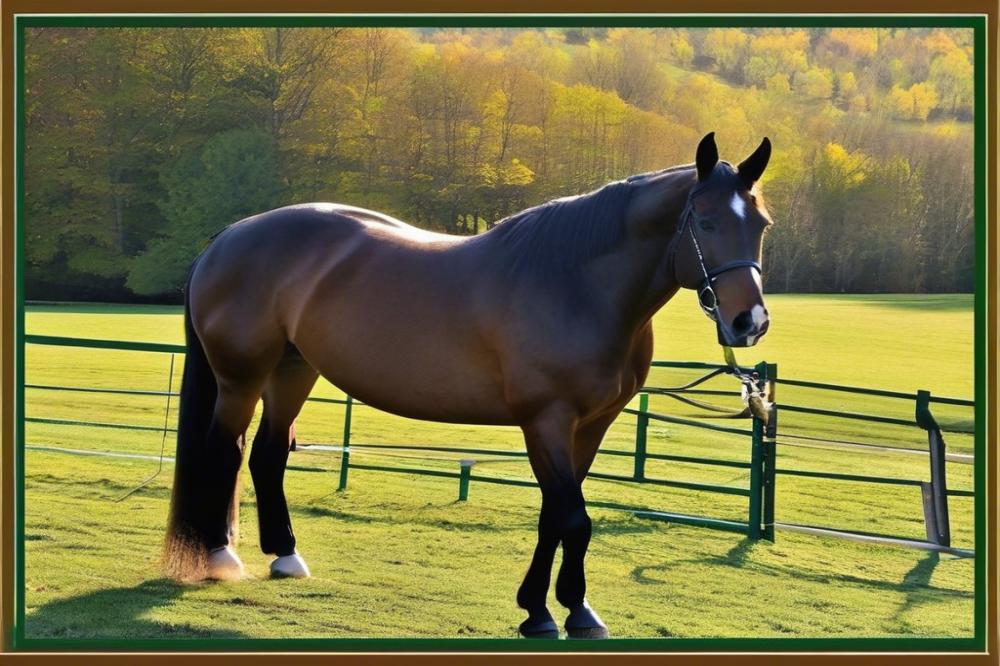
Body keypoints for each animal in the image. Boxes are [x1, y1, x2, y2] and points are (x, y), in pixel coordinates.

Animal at [164, 131, 772, 640]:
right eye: (706, 222)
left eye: (760, 224)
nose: (750, 323)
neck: (574, 283)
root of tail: (231, 236)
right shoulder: (546, 421)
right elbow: (572, 518)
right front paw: (555, 613)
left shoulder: (590, 426)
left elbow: (558, 516)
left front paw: (559, 609)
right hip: (241, 377)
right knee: (224, 451)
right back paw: (220, 557)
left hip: (293, 371)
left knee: (267, 455)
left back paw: (285, 556)